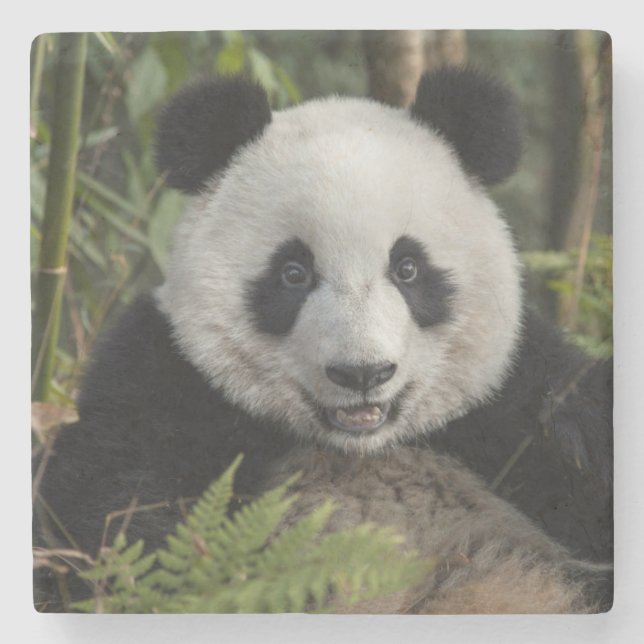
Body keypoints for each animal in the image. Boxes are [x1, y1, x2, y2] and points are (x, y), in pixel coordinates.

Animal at [33, 68, 613, 612]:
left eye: (407, 267)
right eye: (294, 273)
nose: (363, 373)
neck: (359, 448)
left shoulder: (500, 395)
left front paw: (567, 432)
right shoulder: (165, 378)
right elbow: (112, 516)